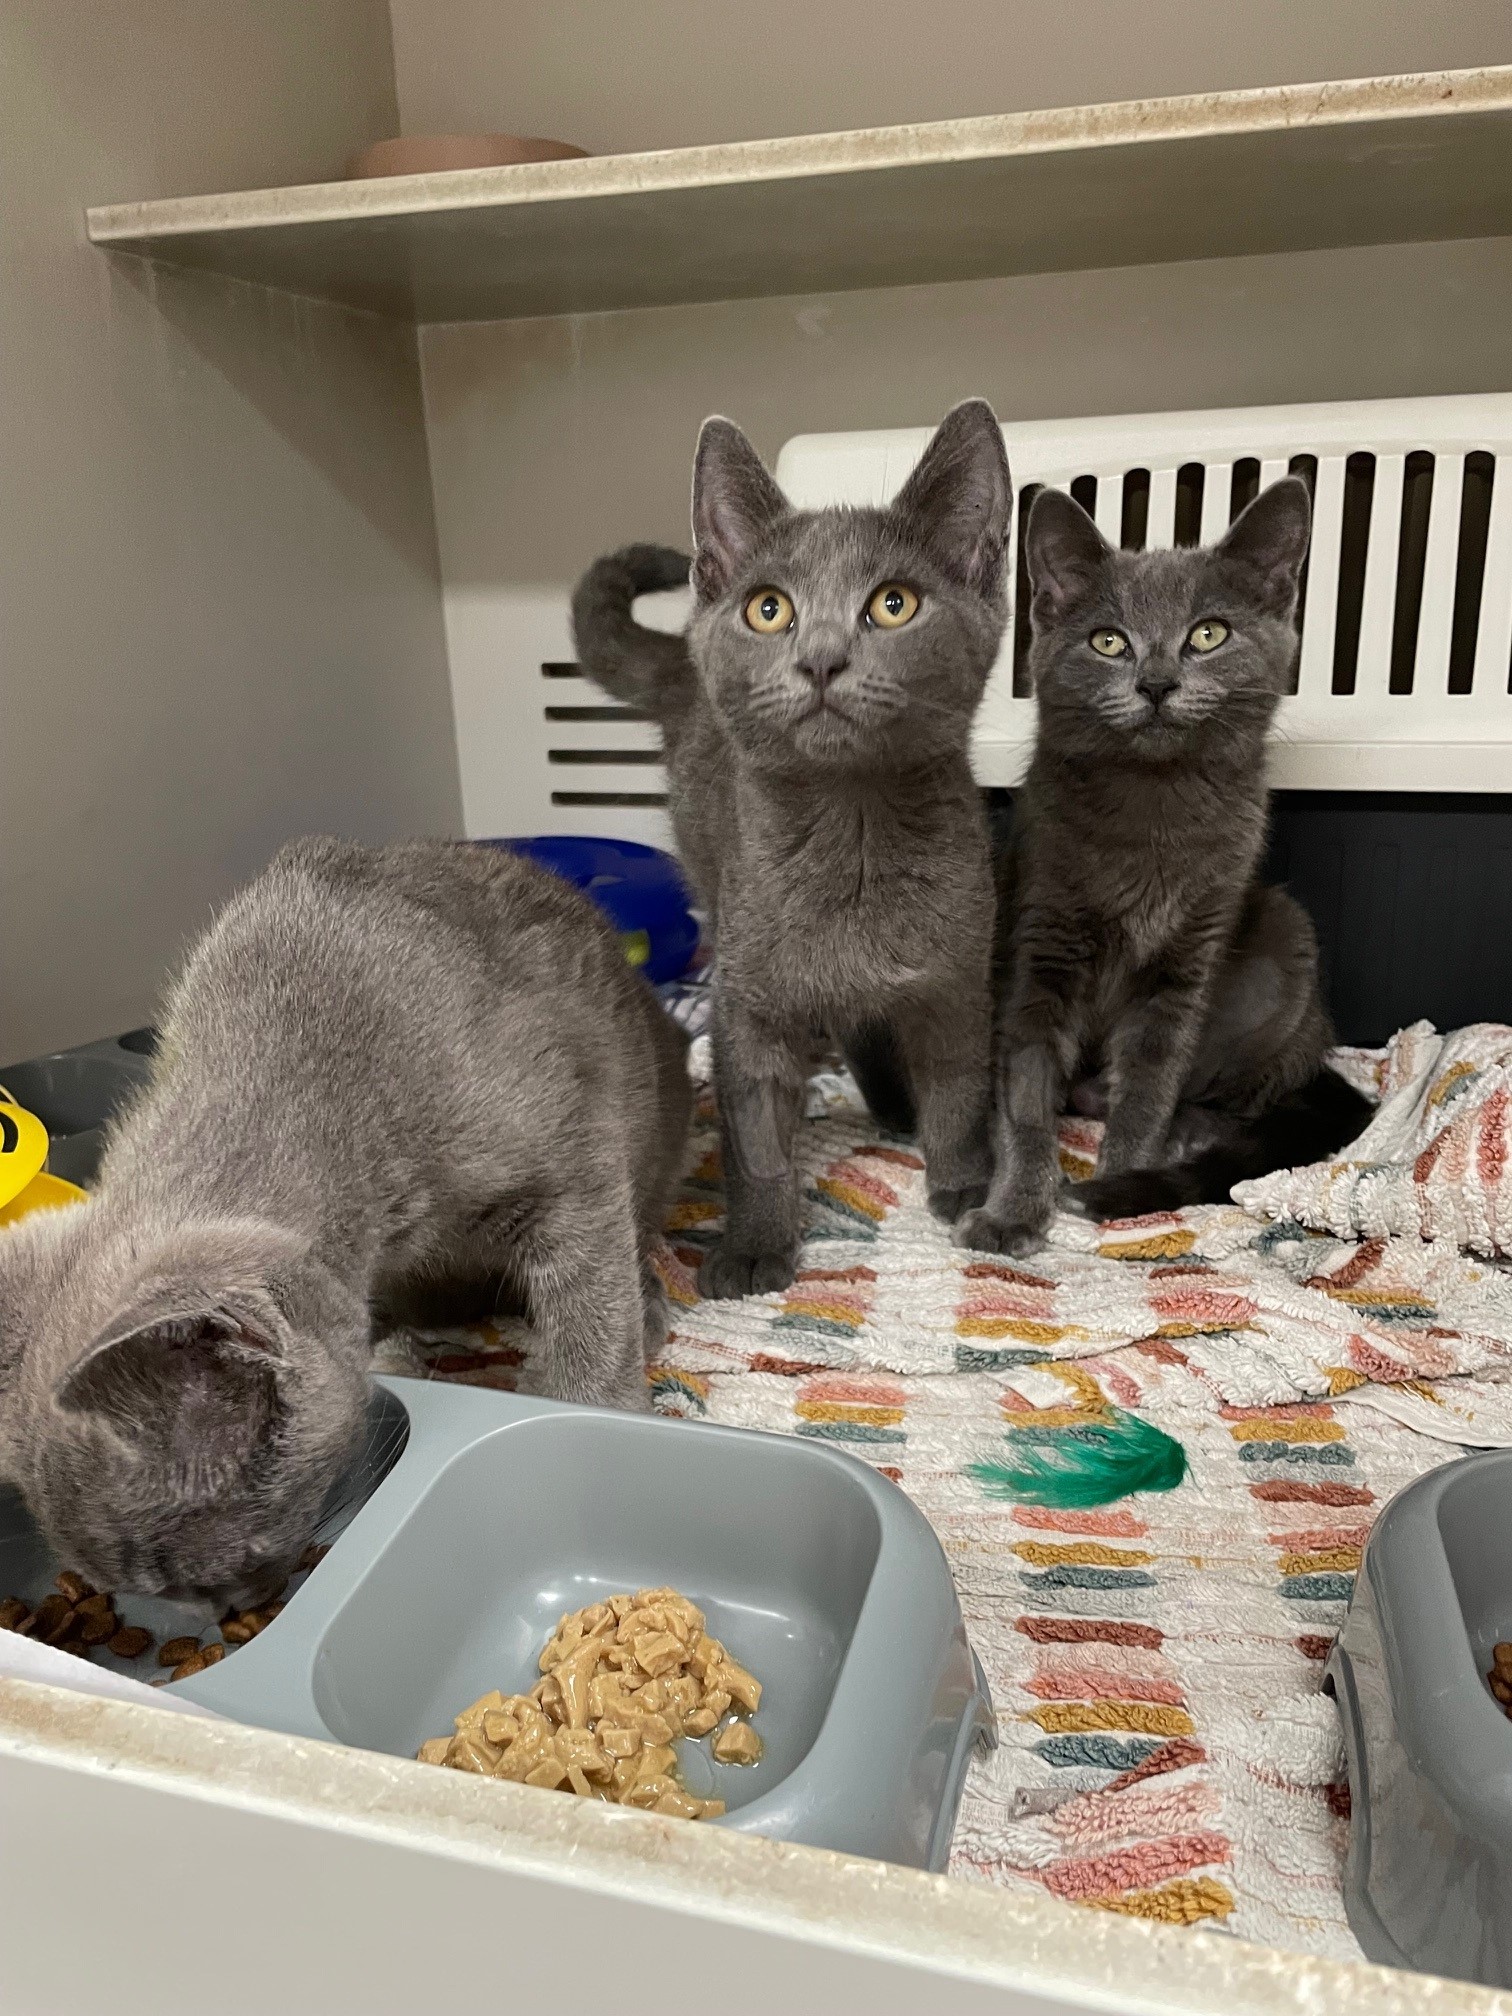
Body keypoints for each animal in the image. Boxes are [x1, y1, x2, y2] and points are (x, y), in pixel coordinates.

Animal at [0, 837, 691, 1603]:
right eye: (159, 1594)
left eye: (198, 1570)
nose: (236, 1606)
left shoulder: (574, 1161)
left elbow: (590, 1307)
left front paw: (592, 1403)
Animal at [572, 400, 1012, 1297]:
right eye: (769, 609)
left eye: (893, 604)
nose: (820, 660)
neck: (853, 837)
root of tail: (683, 661)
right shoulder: (746, 1002)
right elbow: (756, 1139)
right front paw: (753, 1244)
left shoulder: (957, 982)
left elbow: (958, 1090)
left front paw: (960, 1182)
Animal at [957, 474, 1371, 1258]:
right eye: (1108, 641)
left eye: (1208, 634)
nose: (1155, 682)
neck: (1154, 808)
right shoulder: (1039, 939)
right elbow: (1025, 1090)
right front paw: (1015, 1208)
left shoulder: (1187, 958)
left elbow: (1150, 1081)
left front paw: (1124, 1184)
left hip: (1283, 935)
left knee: (1246, 1099)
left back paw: (1187, 1130)